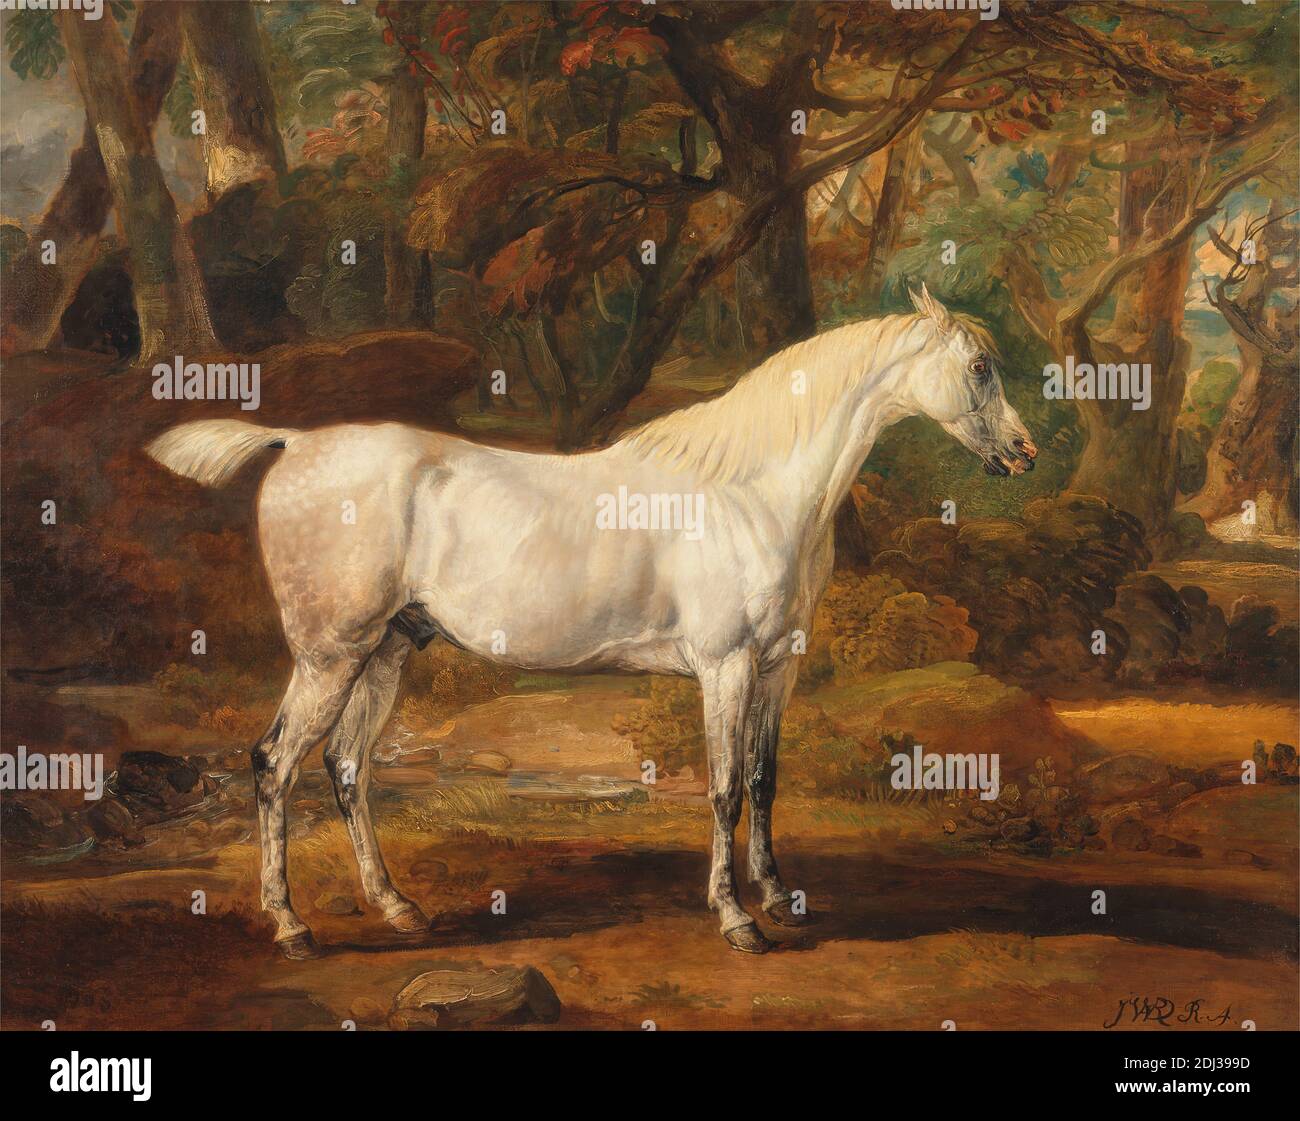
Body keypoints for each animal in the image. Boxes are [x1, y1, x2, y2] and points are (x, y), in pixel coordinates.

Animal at [145, 285, 1037, 959]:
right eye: (979, 366)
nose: (1025, 453)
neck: (750, 491)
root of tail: (292, 442)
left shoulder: (778, 666)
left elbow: (763, 779)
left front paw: (780, 895)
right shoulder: (726, 666)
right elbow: (722, 788)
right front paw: (737, 918)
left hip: (388, 651)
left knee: (347, 766)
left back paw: (397, 907)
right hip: (331, 654)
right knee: (275, 764)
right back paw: (291, 925)